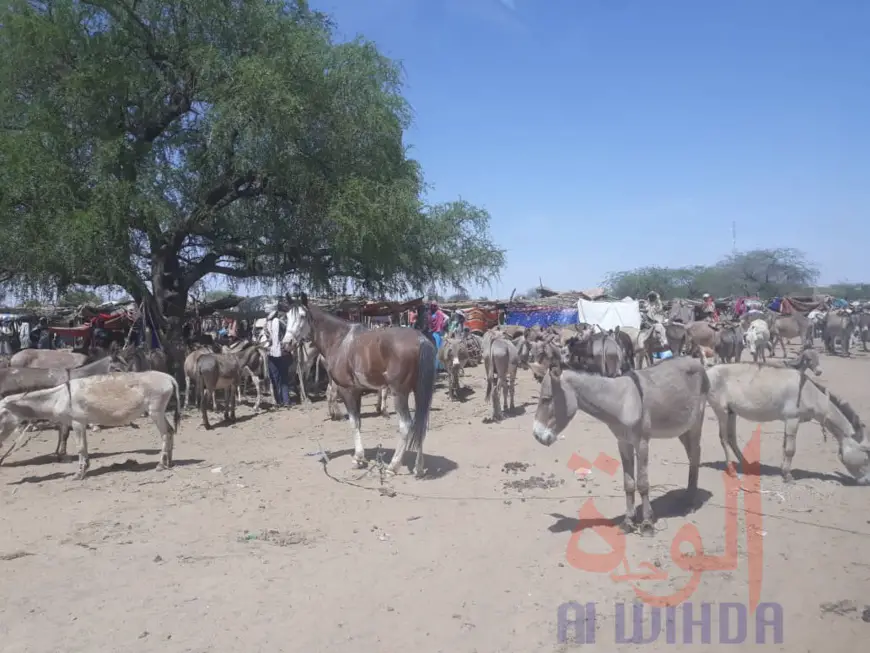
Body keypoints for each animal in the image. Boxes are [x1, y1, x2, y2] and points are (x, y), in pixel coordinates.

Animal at [282, 292, 440, 476]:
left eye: (302, 316)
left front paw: (358, 458)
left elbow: (353, 422)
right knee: (422, 424)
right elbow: (358, 422)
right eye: (286, 316)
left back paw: (392, 466)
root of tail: (421, 339)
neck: (339, 340)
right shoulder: (357, 392)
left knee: (406, 425)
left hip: (399, 393)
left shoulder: (347, 391)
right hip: (420, 391)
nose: (286, 343)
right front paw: (360, 456)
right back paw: (419, 468)